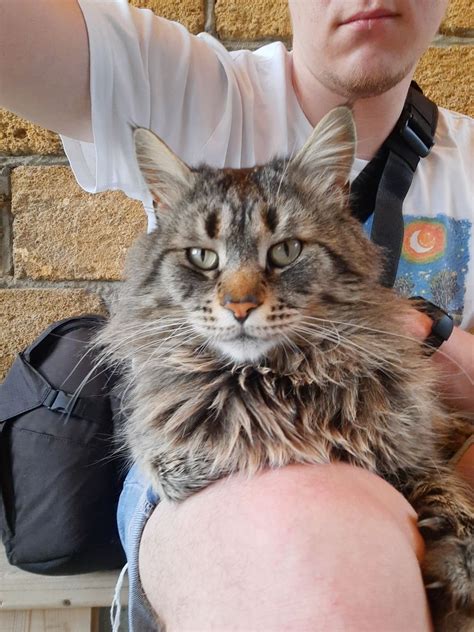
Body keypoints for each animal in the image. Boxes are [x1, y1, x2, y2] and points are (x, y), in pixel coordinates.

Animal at [94, 106, 472, 624]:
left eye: (286, 251)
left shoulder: (415, 453)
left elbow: (451, 497)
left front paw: (460, 565)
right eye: (202, 257)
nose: (239, 305)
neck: (274, 382)